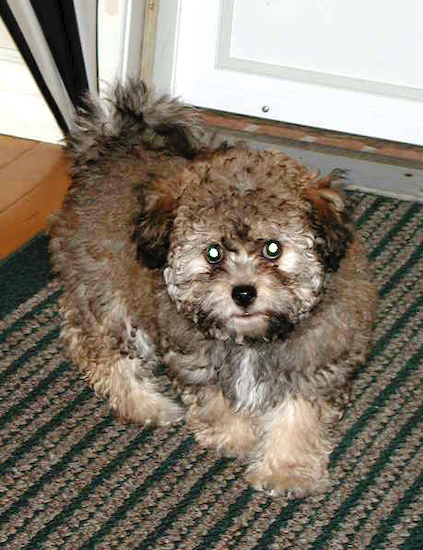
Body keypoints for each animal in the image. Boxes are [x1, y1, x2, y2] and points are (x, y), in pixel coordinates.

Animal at [49, 82, 378, 500]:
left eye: (273, 249)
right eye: (213, 253)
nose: (243, 293)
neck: (253, 339)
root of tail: (111, 148)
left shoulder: (314, 361)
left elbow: (299, 416)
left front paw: (287, 470)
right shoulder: (193, 353)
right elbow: (216, 398)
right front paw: (235, 436)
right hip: (106, 292)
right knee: (98, 349)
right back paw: (147, 405)